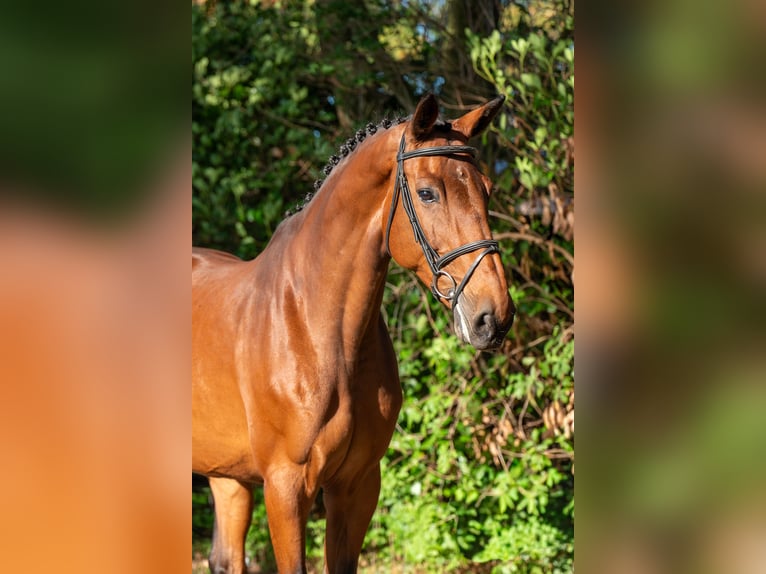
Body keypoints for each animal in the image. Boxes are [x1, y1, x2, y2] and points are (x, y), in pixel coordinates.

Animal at [192, 93, 515, 574]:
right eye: (427, 193)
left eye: (487, 190)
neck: (319, 329)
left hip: (226, 476)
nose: (494, 317)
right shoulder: (286, 487)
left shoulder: (357, 485)